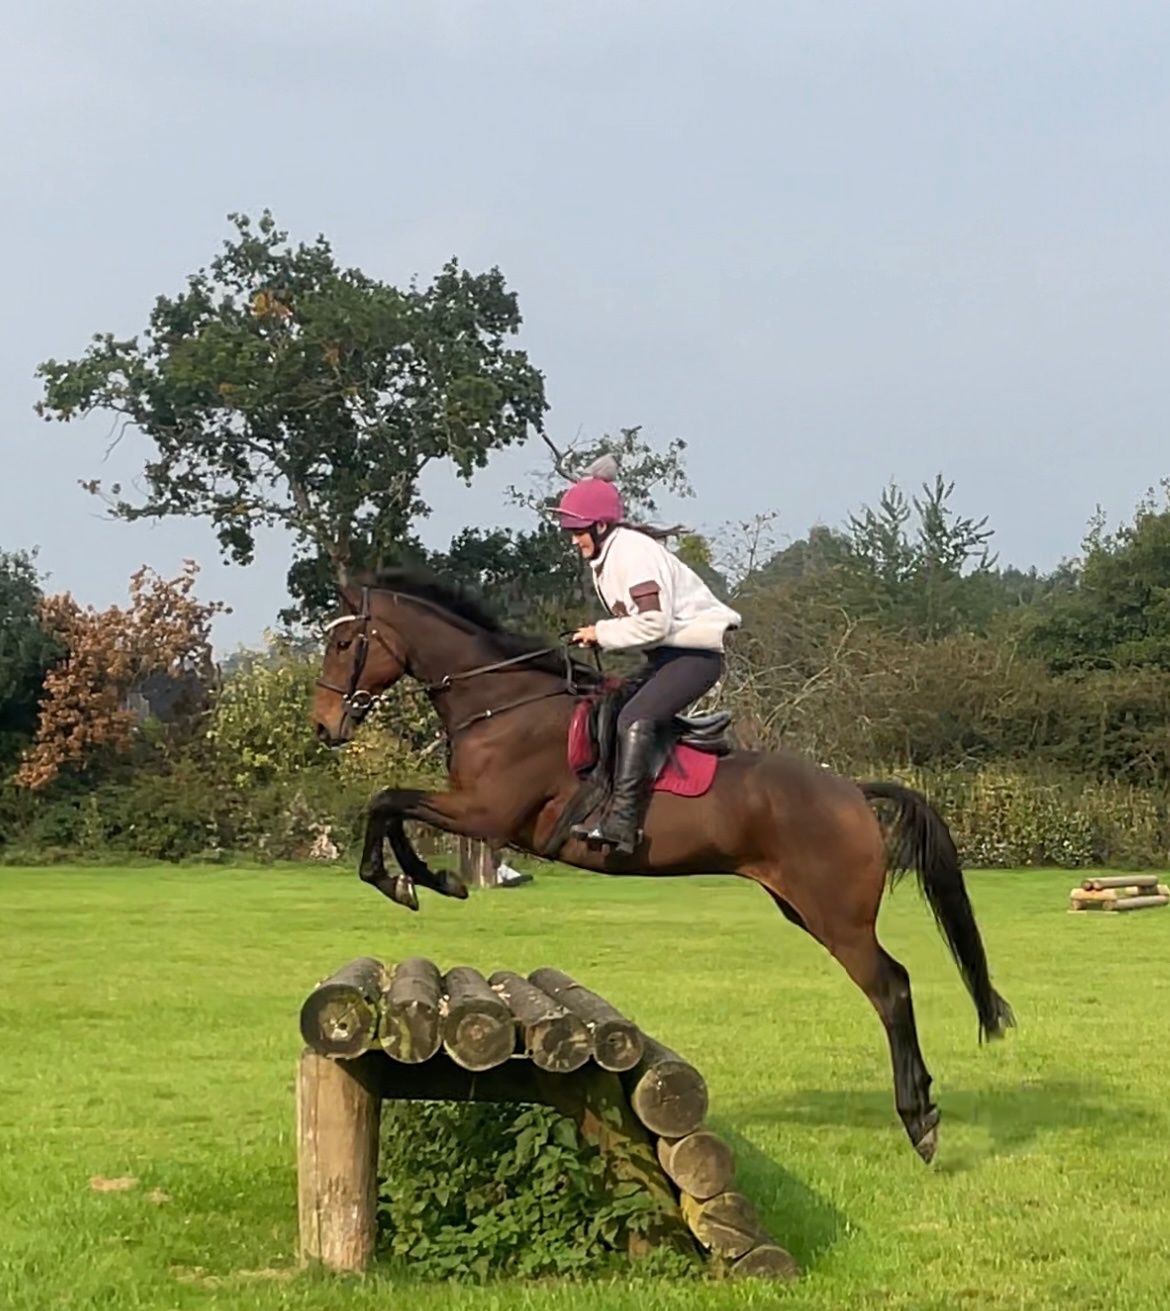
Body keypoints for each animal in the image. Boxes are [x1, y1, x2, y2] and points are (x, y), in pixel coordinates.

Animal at [311, 567, 1014, 1163]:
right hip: (803, 908)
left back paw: (919, 1119)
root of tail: (851, 791)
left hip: (837, 917)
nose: (323, 727)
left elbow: (387, 801)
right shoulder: (474, 813)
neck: (501, 702)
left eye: (345, 642)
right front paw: (424, 880)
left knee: (892, 987)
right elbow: (390, 807)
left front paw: (411, 880)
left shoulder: (486, 814)